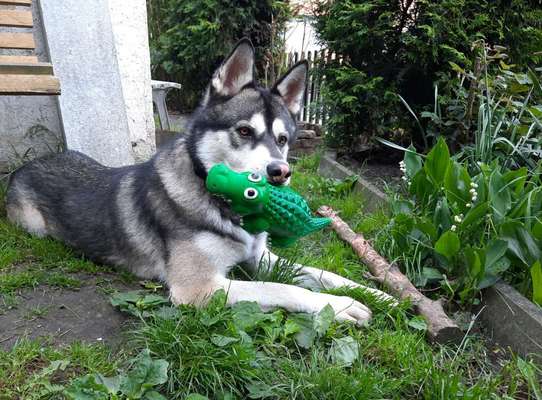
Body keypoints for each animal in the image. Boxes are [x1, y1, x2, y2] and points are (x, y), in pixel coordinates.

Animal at [6, 38, 394, 324]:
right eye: (244, 131)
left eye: (283, 140)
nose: (280, 173)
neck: (227, 209)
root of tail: (28, 164)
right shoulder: (198, 288)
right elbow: (283, 289)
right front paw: (340, 306)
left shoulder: (261, 258)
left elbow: (324, 273)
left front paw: (379, 293)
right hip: (34, 227)